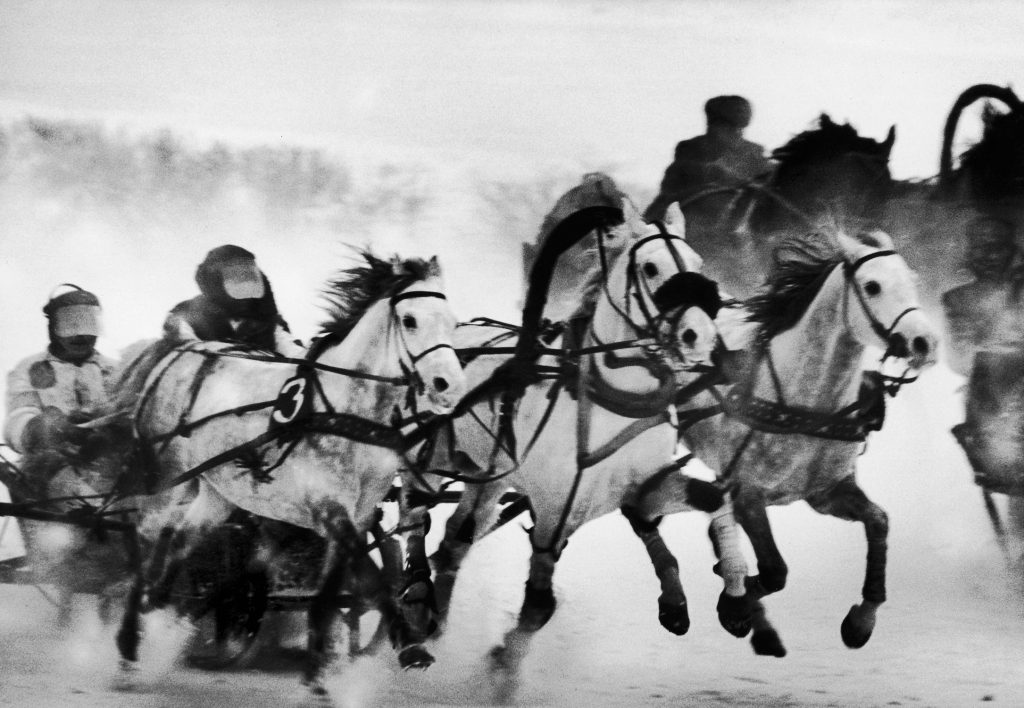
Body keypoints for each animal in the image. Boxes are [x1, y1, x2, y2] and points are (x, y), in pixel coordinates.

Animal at [114, 253, 466, 696]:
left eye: (452, 321)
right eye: (410, 319)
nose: (449, 385)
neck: (344, 412)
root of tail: (185, 350)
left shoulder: (358, 515)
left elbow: (332, 591)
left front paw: (317, 672)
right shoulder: (329, 508)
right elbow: (371, 581)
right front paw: (409, 645)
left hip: (218, 493)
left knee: (177, 538)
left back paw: (159, 608)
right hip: (165, 479)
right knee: (143, 543)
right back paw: (130, 643)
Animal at [419, 205, 749, 696]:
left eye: (697, 262)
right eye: (650, 268)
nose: (699, 335)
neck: (613, 399)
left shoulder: (644, 485)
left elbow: (713, 499)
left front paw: (734, 600)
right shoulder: (555, 511)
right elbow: (538, 606)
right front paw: (503, 675)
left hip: (488, 477)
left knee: (457, 537)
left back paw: (434, 618)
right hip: (429, 461)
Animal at [671, 229, 942, 655]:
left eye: (911, 281)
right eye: (872, 285)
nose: (924, 343)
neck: (806, 401)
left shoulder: (827, 493)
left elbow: (879, 522)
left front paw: (862, 619)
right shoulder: (749, 493)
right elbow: (774, 571)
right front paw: (735, 607)